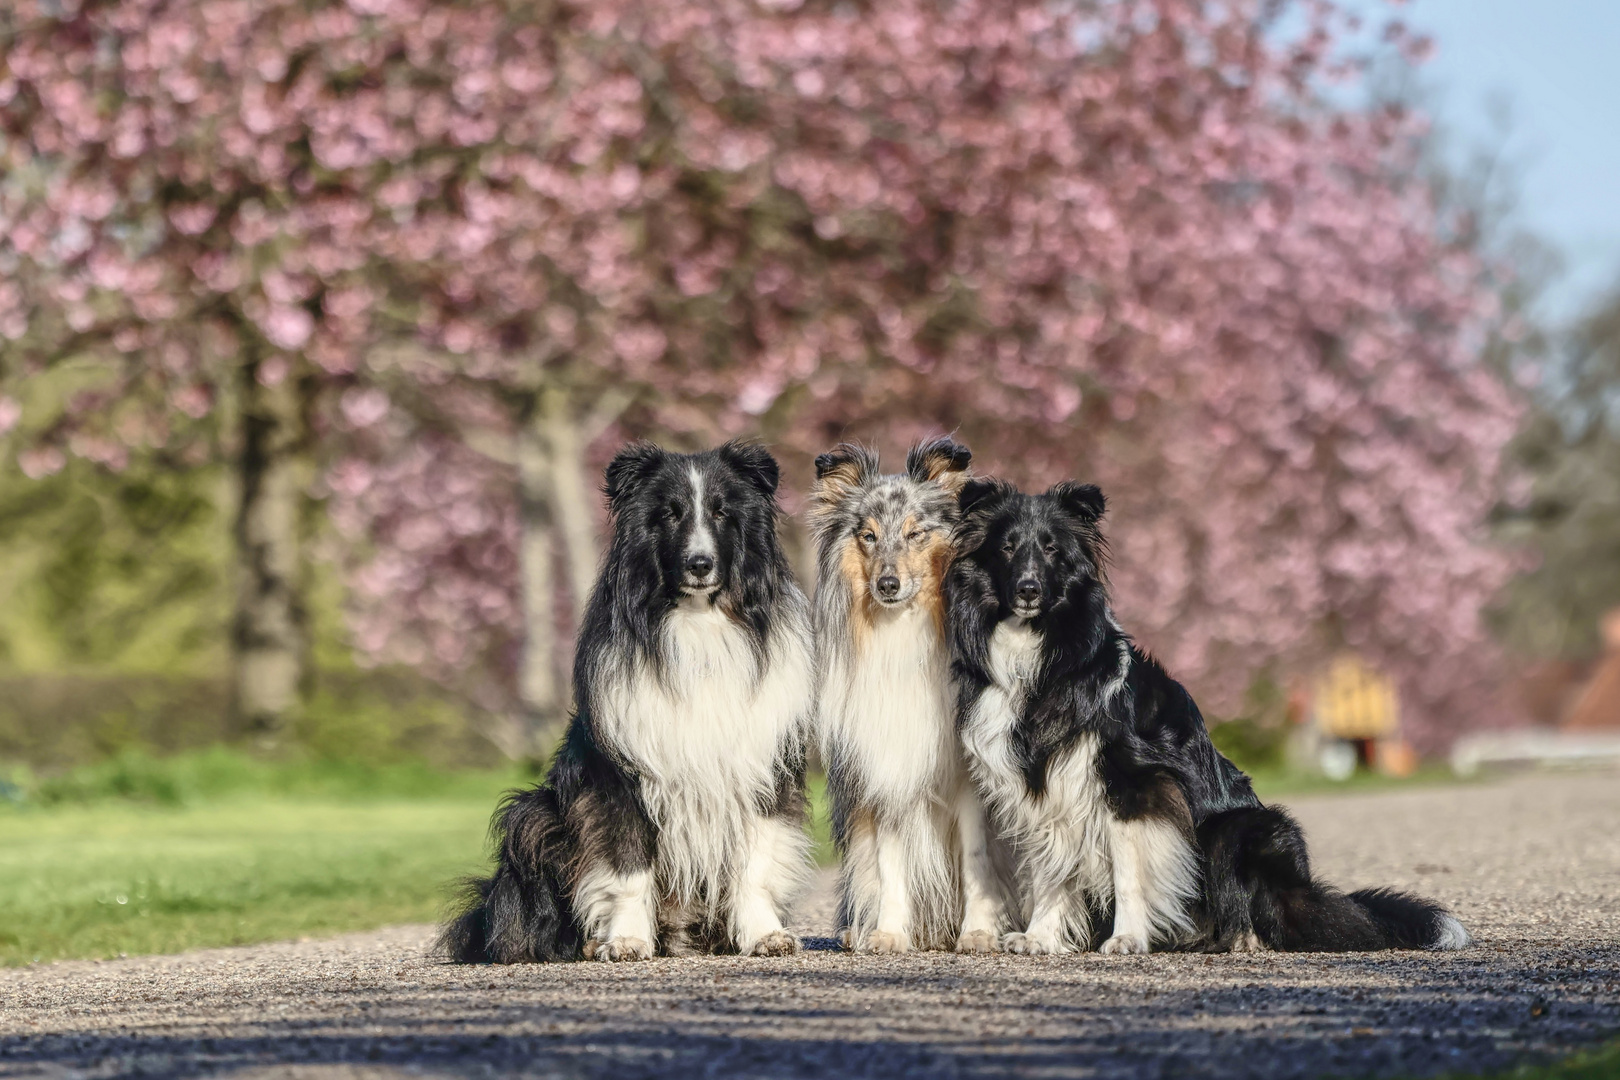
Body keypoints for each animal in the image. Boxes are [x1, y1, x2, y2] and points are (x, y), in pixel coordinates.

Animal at [440, 440, 810, 965]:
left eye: (723, 513)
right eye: (670, 514)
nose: (700, 565)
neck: (698, 624)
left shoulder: (762, 769)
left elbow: (753, 864)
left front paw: (764, 934)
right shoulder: (618, 778)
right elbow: (627, 866)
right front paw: (626, 939)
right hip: (533, 815)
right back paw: (588, 941)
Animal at [816, 440, 1004, 952]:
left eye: (915, 533)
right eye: (868, 535)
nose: (887, 585)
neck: (904, 632)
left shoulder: (970, 778)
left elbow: (978, 856)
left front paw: (980, 930)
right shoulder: (885, 768)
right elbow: (889, 862)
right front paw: (888, 933)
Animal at [946, 482, 1470, 952]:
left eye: (1052, 548)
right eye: (1007, 547)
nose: (1028, 590)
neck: (1040, 653)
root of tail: (1300, 892)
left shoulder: (1134, 783)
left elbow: (1128, 868)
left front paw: (1128, 939)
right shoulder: (1041, 784)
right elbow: (1052, 868)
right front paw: (1040, 937)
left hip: (1243, 830)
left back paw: (1238, 940)